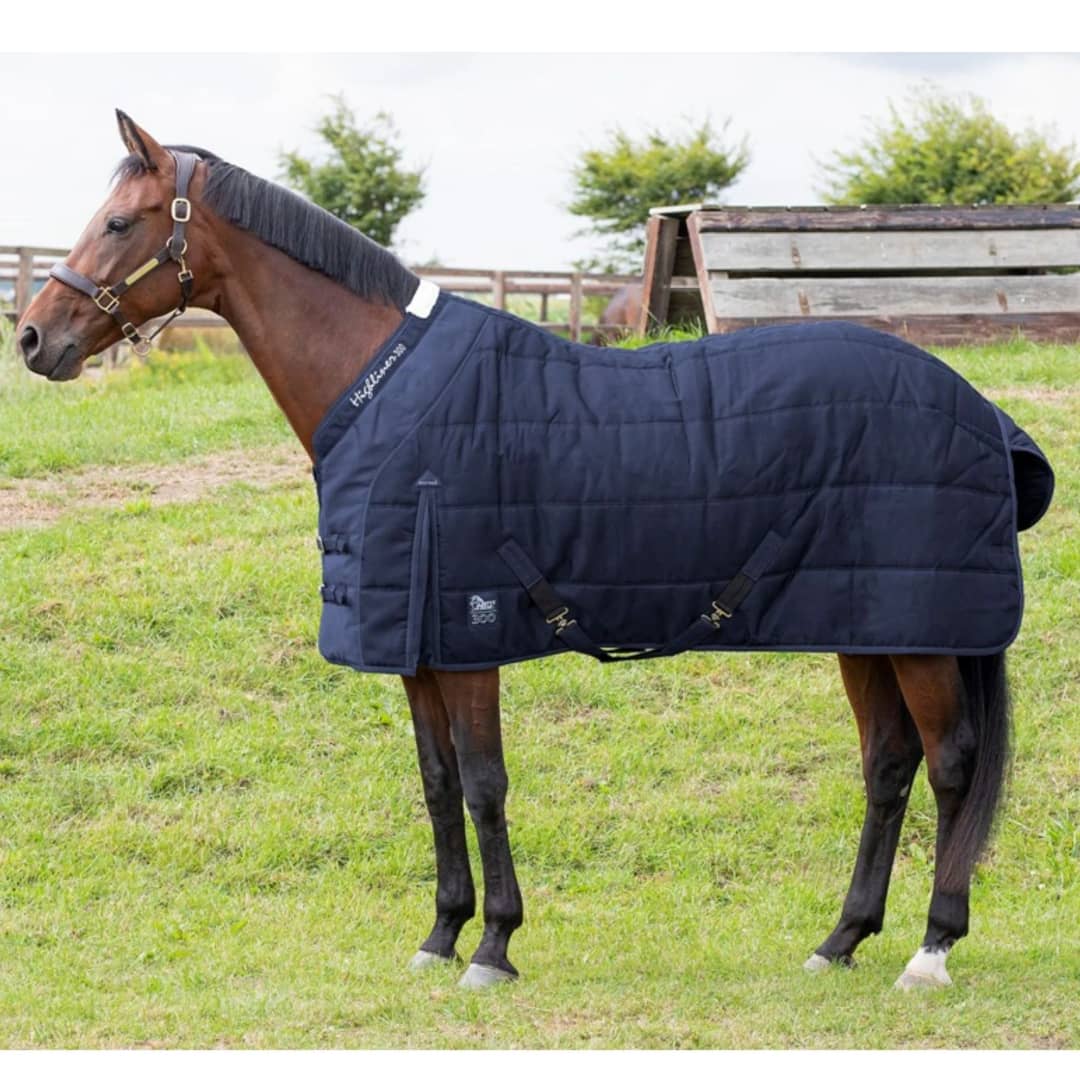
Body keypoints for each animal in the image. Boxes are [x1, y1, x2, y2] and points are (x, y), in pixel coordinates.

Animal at [17, 111, 1053, 993]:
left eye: (119, 222)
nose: (34, 337)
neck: (389, 393)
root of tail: (978, 410)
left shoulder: (469, 635)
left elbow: (483, 786)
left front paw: (494, 947)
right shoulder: (417, 646)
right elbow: (438, 785)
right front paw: (440, 936)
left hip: (921, 633)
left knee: (950, 764)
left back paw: (930, 950)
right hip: (863, 624)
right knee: (888, 765)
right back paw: (839, 941)